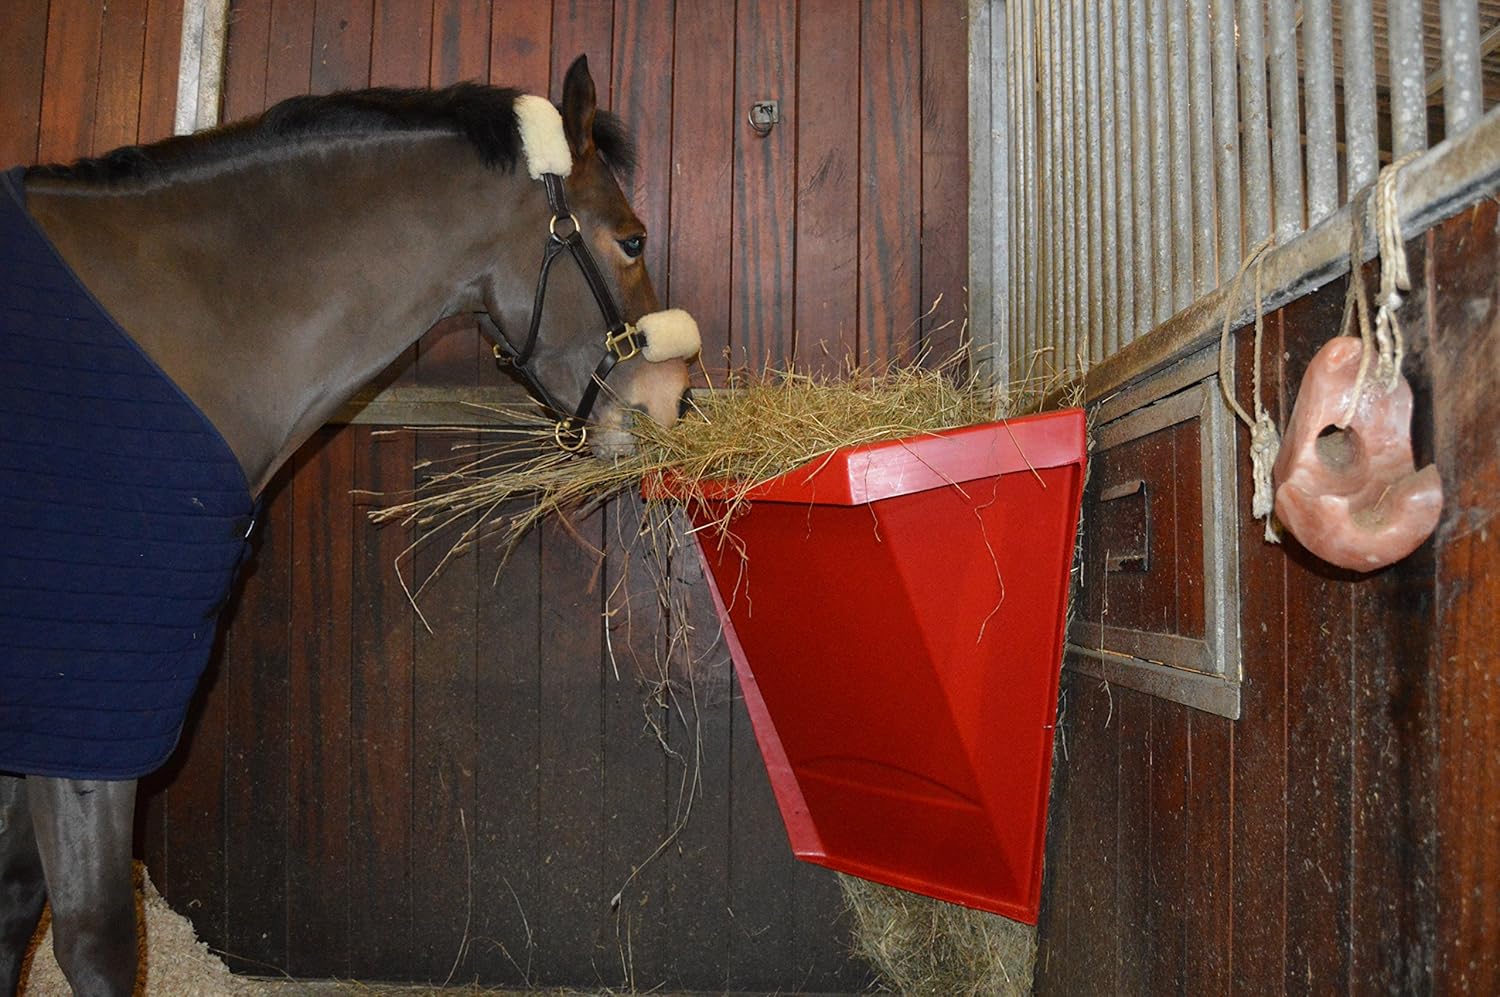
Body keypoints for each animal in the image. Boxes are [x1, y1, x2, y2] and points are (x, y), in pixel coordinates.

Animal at [0, 54, 700, 996]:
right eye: (631, 240)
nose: (676, 401)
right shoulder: (87, 705)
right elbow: (94, 936)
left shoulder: (38, 709)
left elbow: (12, 906)